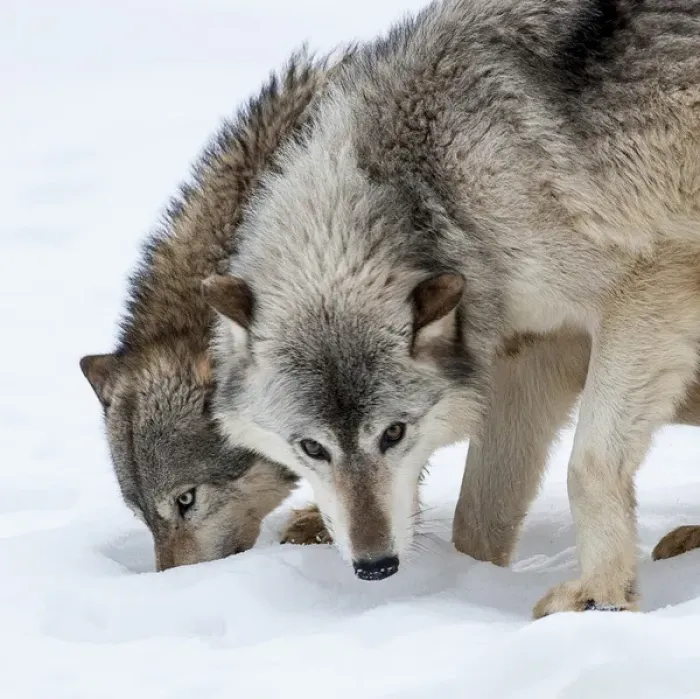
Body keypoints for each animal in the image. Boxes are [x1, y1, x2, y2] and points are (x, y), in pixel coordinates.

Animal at [205, 0, 700, 616]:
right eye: (312, 447)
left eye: (393, 433)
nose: (375, 566)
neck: (436, 189)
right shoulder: (531, 351)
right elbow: (478, 515)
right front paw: (471, 584)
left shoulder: (649, 288)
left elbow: (587, 465)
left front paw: (600, 596)